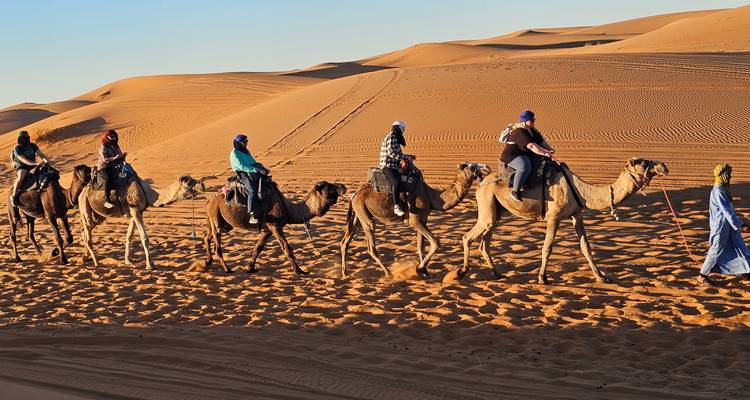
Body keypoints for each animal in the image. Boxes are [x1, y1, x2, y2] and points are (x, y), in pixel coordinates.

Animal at [204, 180, 347, 274]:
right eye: (330, 187)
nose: (343, 186)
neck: (288, 208)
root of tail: (210, 200)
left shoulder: (267, 230)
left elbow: (258, 248)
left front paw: (250, 268)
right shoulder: (275, 225)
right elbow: (286, 248)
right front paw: (299, 270)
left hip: (223, 222)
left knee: (207, 236)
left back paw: (208, 262)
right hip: (216, 215)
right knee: (217, 243)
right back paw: (227, 269)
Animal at [340, 162, 491, 279]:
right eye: (471, 166)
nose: (486, 167)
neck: (432, 197)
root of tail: (354, 194)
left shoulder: (423, 220)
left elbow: (420, 247)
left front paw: (425, 272)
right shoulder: (415, 220)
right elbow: (435, 242)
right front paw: (419, 269)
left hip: (359, 214)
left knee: (345, 241)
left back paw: (345, 273)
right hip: (363, 213)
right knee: (371, 245)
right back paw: (389, 273)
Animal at [461, 157, 669, 284]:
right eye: (642, 163)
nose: (664, 166)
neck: (580, 190)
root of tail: (482, 180)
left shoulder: (577, 214)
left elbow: (586, 247)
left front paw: (601, 277)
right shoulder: (554, 217)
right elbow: (547, 247)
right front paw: (542, 278)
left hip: (497, 211)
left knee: (484, 242)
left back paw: (497, 273)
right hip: (487, 203)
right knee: (468, 237)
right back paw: (462, 272)